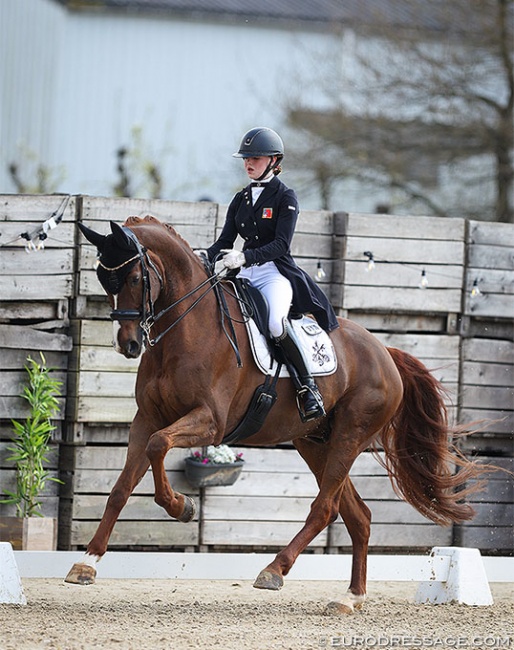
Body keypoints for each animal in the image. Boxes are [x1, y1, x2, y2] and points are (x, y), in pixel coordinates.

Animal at [67, 216, 480, 612]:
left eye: (136, 278)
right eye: (103, 279)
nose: (127, 344)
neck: (186, 330)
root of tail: (385, 352)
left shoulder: (210, 423)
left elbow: (158, 446)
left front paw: (181, 506)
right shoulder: (146, 419)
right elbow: (122, 487)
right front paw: (87, 562)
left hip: (350, 435)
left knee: (325, 507)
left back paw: (274, 569)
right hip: (314, 442)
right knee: (357, 516)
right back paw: (349, 598)